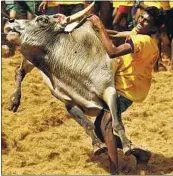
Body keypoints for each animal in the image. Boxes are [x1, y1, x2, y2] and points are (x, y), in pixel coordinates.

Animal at [4, 1, 150, 175]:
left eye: (43, 20)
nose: (10, 21)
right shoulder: (69, 102)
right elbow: (87, 125)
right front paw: (98, 146)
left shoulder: (109, 90)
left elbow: (116, 124)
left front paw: (129, 146)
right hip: (28, 59)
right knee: (19, 72)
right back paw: (14, 101)